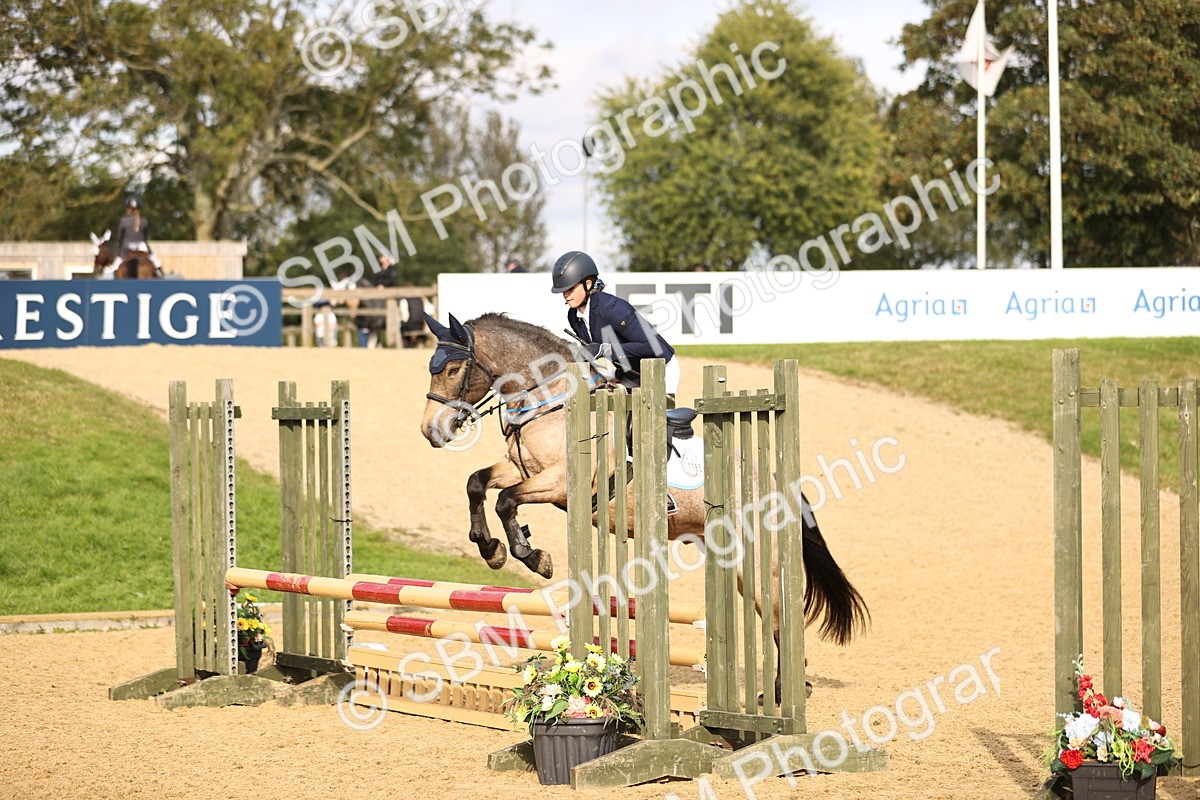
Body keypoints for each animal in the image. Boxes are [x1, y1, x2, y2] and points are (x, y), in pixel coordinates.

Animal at [419, 312, 869, 659]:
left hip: (761, 560)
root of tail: (779, 482)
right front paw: (491, 548)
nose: (430, 431)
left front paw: (533, 557)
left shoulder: (560, 483)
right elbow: (478, 485)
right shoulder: (521, 468)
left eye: (454, 370)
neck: (550, 400)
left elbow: (507, 502)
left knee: (778, 616)